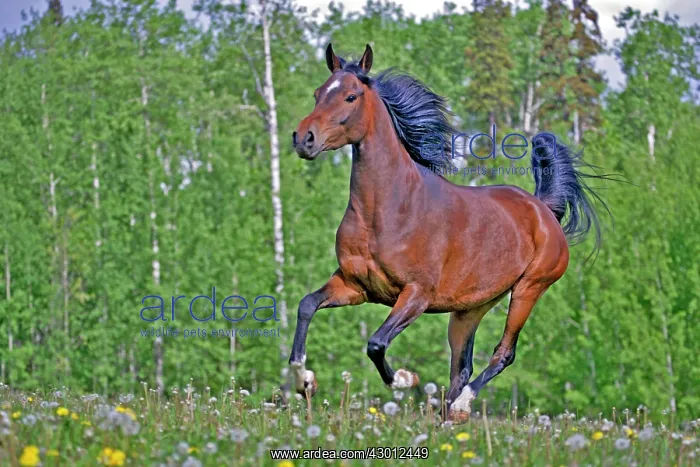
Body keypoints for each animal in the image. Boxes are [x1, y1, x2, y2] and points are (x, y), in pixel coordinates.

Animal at [289, 43, 606, 422]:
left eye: (351, 96)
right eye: (318, 93)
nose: (304, 139)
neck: (386, 210)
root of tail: (543, 210)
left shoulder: (416, 295)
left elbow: (376, 343)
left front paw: (405, 378)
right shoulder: (355, 285)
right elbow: (306, 305)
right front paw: (304, 381)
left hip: (529, 290)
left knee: (503, 353)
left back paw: (461, 406)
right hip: (471, 308)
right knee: (461, 366)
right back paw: (449, 415)